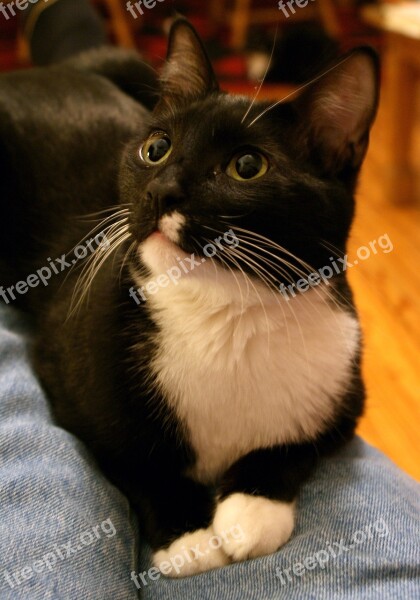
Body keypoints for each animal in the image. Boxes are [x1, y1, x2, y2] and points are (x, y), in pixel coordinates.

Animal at [0, 18, 378, 576]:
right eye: (156, 148)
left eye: (247, 165)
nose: (161, 190)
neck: (228, 314)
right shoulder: (68, 379)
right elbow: (135, 460)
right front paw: (189, 536)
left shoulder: (346, 390)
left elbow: (297, 444)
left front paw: (252, 511)